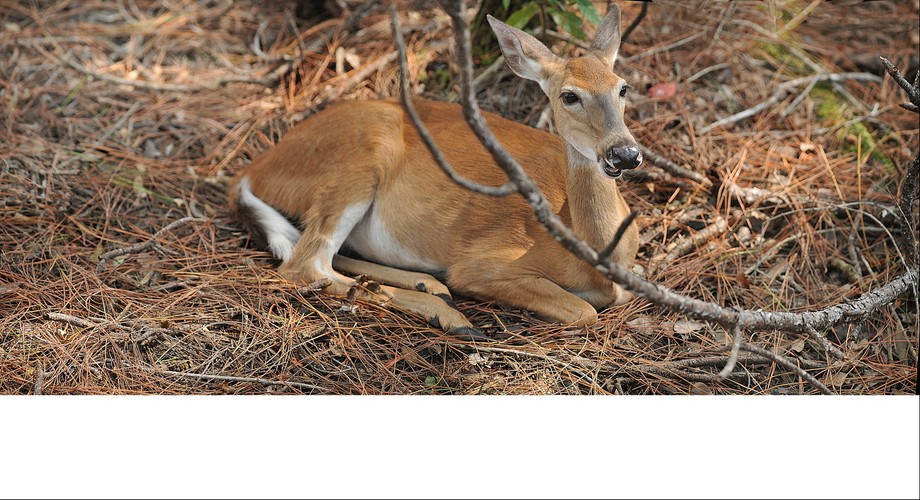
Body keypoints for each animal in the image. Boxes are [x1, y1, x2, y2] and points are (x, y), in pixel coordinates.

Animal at [228, 4, 642, 339]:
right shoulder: (484, 264)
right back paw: (450, 316)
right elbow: (583, 310)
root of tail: (253, 170)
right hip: (359, 161)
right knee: (304, 265)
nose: (624, 153)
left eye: (623, 87)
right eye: (569, 96)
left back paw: (428, 285)